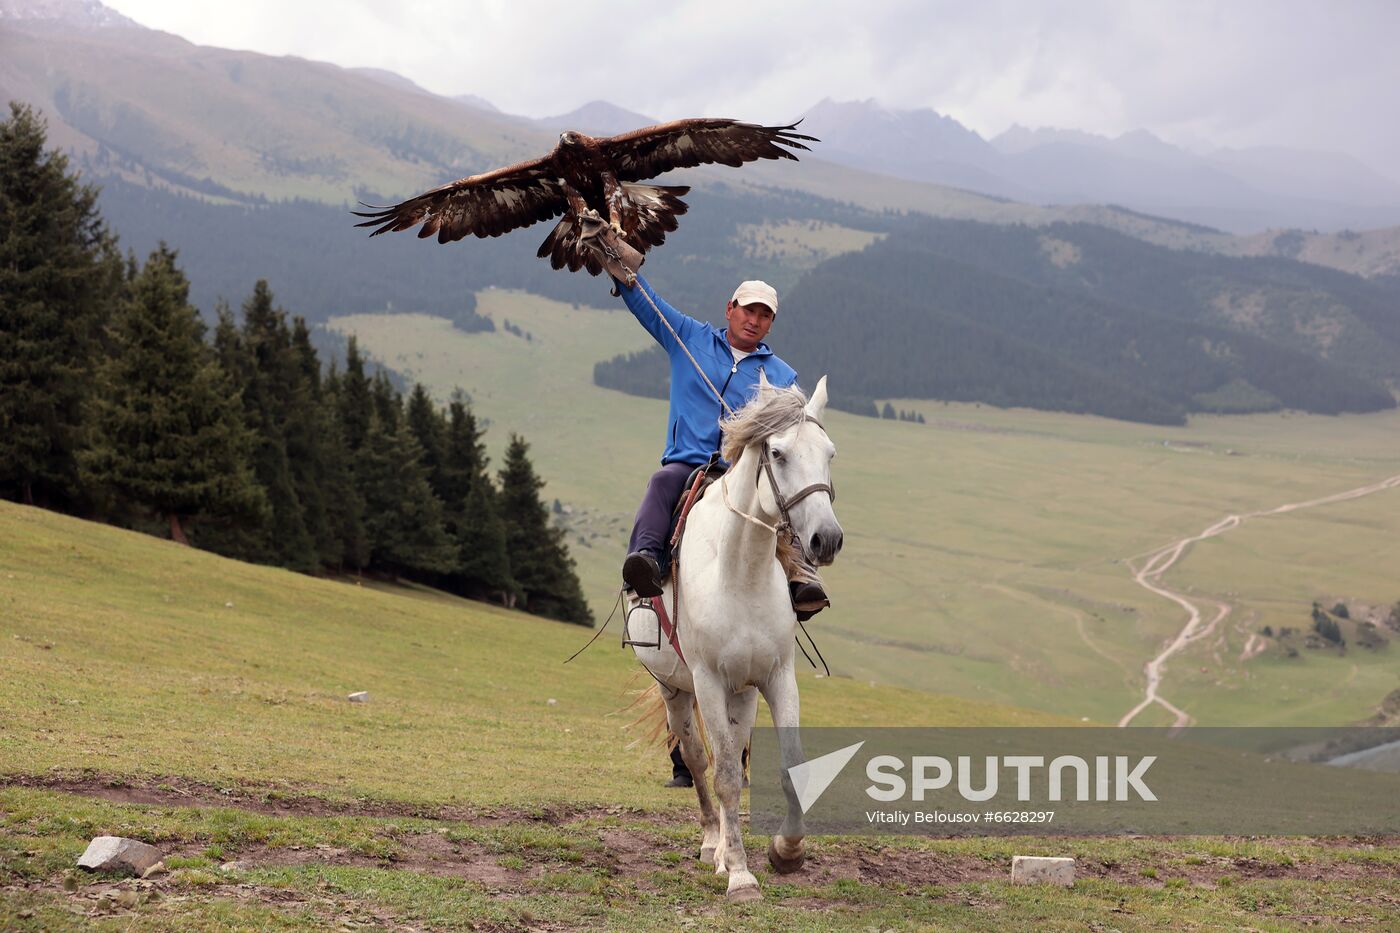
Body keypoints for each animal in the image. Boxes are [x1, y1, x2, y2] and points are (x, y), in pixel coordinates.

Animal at [632, 369, 840, 902]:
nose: (826, 539)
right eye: (778, 453)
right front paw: (742, 875)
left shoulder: (778, 678)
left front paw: (786, 852)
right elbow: (723, 773)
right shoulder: (706, 681)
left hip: (742, 694)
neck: (740, 571)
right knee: (698, 761)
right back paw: (714, 846)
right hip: (677, 691)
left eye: (829, 453)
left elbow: (790, 766)